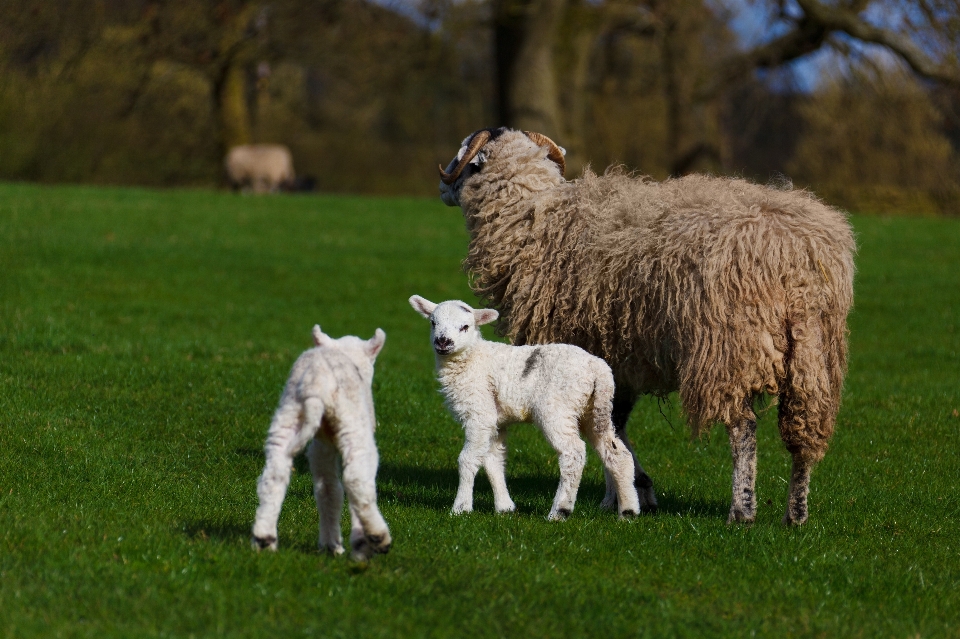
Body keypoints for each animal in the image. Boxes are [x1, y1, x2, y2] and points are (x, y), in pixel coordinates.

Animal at [255, 324, 394, 560]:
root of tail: (316, 383)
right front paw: (359, 544)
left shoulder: (321, 448)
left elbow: (328, 490)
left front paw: (332, 545)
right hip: (353, 425)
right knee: (356, 480)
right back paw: (378, 537)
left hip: (288, 415)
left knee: (274, 474)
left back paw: (264, 538)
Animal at [408, 296, 640, 520]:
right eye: (433, 322)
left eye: (465, 326)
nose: (443, 342)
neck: (473, 358)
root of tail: (598, 368)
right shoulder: (496, 421)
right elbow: (493, 460)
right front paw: (505, 508)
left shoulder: (479, 413)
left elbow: (468, 459)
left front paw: (461, 508)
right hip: (595, 409)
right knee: (617, 453)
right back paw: (628, 511)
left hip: (557, 408)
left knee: (573, 453)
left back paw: (559, 511)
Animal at [436, 127, 856, 528]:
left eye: (466, 159)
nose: (441, 187)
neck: (531, 215)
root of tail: (794, 252)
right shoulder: (617, 359)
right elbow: (611, 424)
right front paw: (627, 494)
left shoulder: (597, 351)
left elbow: (609, 426)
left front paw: (626, 493)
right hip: (813, 353)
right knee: (804, 434)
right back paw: (796, 515)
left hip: (728, 349)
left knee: (744, 429)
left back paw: (742, 511)